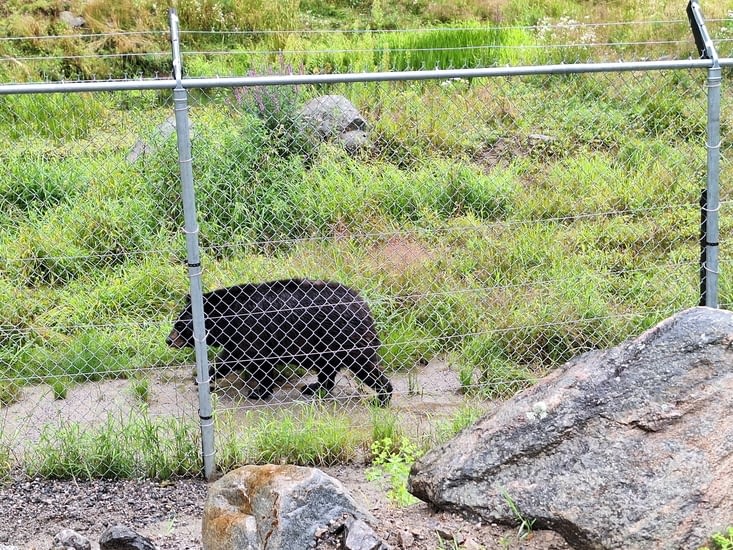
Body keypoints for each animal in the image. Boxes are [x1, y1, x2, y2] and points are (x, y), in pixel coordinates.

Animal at [167, 280, 394, 406]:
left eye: (180, 325)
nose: (168, 340)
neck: (230, 317)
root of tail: (363, 304)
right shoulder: (238, 337)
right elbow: (229, 358)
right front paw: (202, 378)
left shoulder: (255, 331)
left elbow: (257, 362)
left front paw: (258, 392)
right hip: (327, 344)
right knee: (327, 368)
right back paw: (314, 387)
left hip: (346, 337)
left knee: (364, 366)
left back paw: (382, 397)